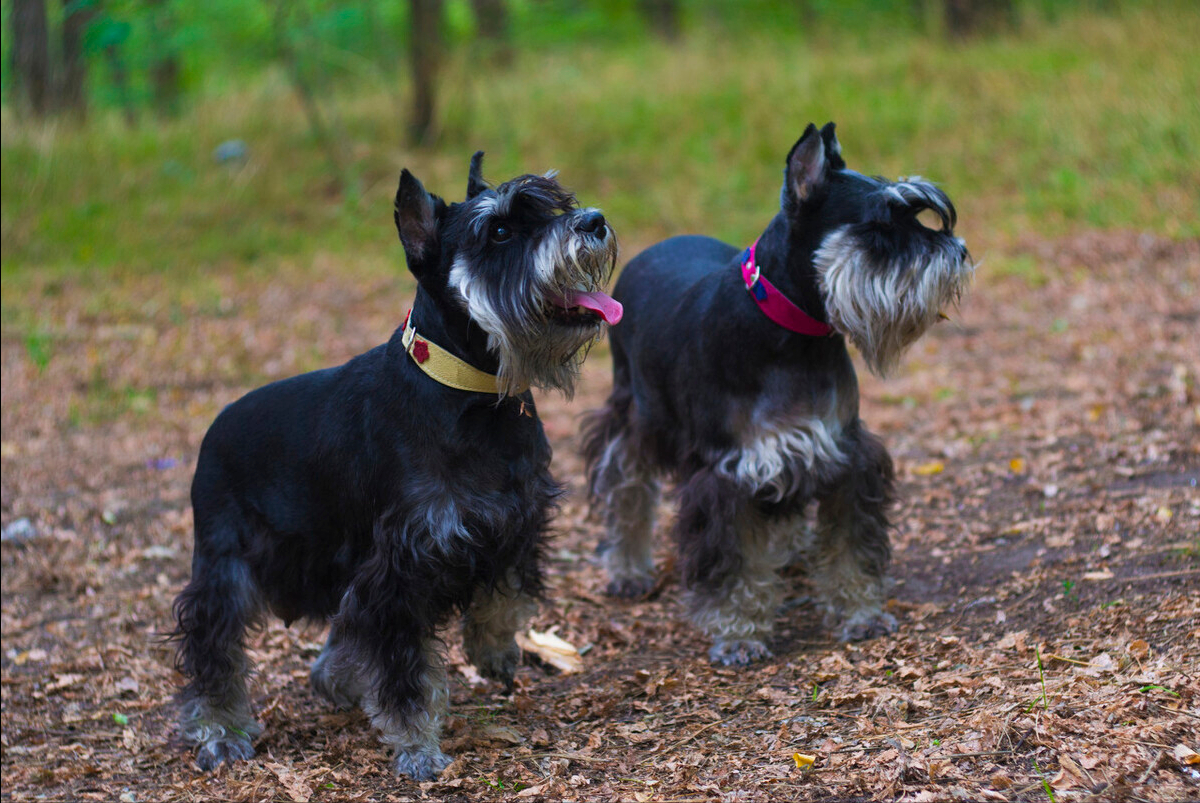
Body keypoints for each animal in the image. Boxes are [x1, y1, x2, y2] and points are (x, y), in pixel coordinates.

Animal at [170, 151, 624, 777]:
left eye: (556, 204)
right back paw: (219, 730)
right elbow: (402, 667)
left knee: (342, 619)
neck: (473, 395)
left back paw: (334, 676)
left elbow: (504, 594)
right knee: (213, 644)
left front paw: (494, 650)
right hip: (226, 564)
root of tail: (212, 431)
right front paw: (417, 746)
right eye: (499, 231)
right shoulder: (401, 564)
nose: (594, 221)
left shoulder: (517, 518)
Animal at [583, 123, 974, 662]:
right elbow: (732, 562)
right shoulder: (725, 472)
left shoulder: (842, 452)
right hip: (634, 416)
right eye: (877, 228)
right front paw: (738, 632)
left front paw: (860, 612)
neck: (791, 333)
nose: (957, 252)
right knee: (626, 487)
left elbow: (851, 546)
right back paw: (627, 568)